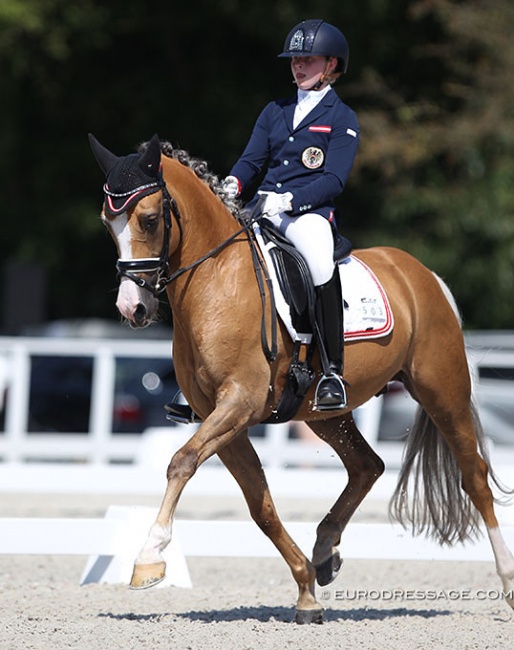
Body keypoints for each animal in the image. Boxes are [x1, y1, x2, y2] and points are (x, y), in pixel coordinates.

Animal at [89, 133, 514, 624]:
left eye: (150, 218)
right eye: (107, 224)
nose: (132, 308)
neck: (216, 280)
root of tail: (420, 274)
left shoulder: (240, 403)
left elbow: (181, 462)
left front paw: (149, 558)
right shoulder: (224, 420)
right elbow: (260, 506)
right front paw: (307, 591)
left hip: (443, 390)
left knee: (474, 477)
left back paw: (507, 583)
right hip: (323, 412)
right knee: (367, 466)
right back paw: (326, 551)